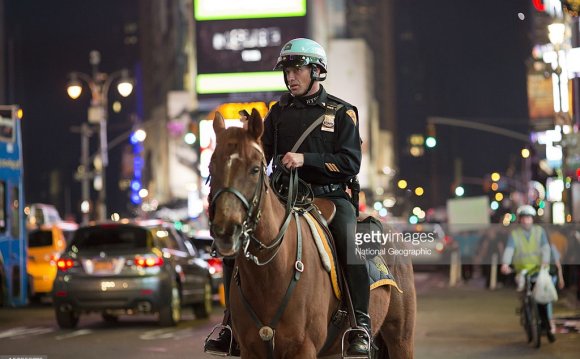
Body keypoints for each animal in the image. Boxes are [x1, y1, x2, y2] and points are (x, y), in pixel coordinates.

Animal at [208, 109, 416, 359]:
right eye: (211, 168)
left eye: (255, 169)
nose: (225, 231)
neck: (271, 272)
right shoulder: (251, 351)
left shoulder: (303, 349)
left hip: (401, 340)